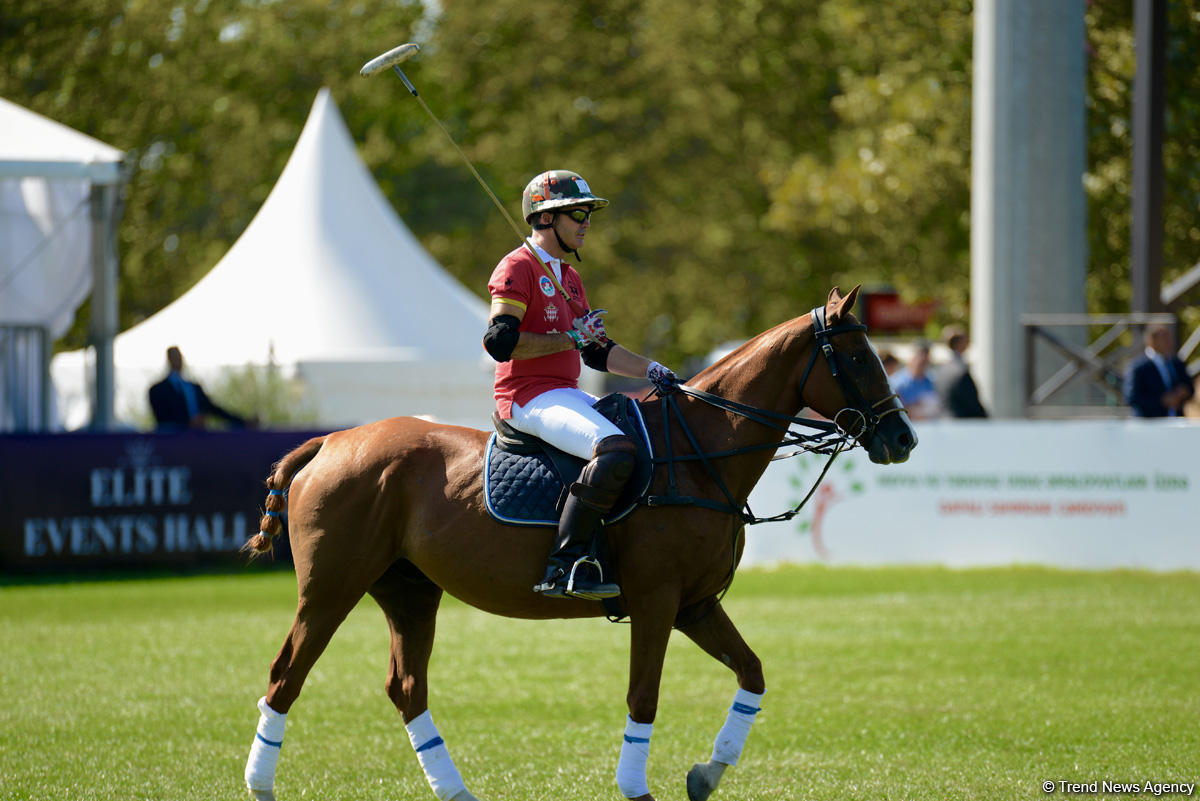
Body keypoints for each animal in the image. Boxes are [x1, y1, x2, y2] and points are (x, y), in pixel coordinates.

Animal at [243, 284, 916, 796]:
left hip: (409, 590)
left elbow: (752, 674)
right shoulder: (655, 600)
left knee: (406, 688)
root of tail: (327, 441)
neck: (698, 451)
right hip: (331, 587)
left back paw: (455, 791)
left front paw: (706, 773)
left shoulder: (697, 604)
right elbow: (643, 697)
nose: (903, 438)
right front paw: (636, 788)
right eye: (859, 360)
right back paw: (260, 785)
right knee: (285, 675)